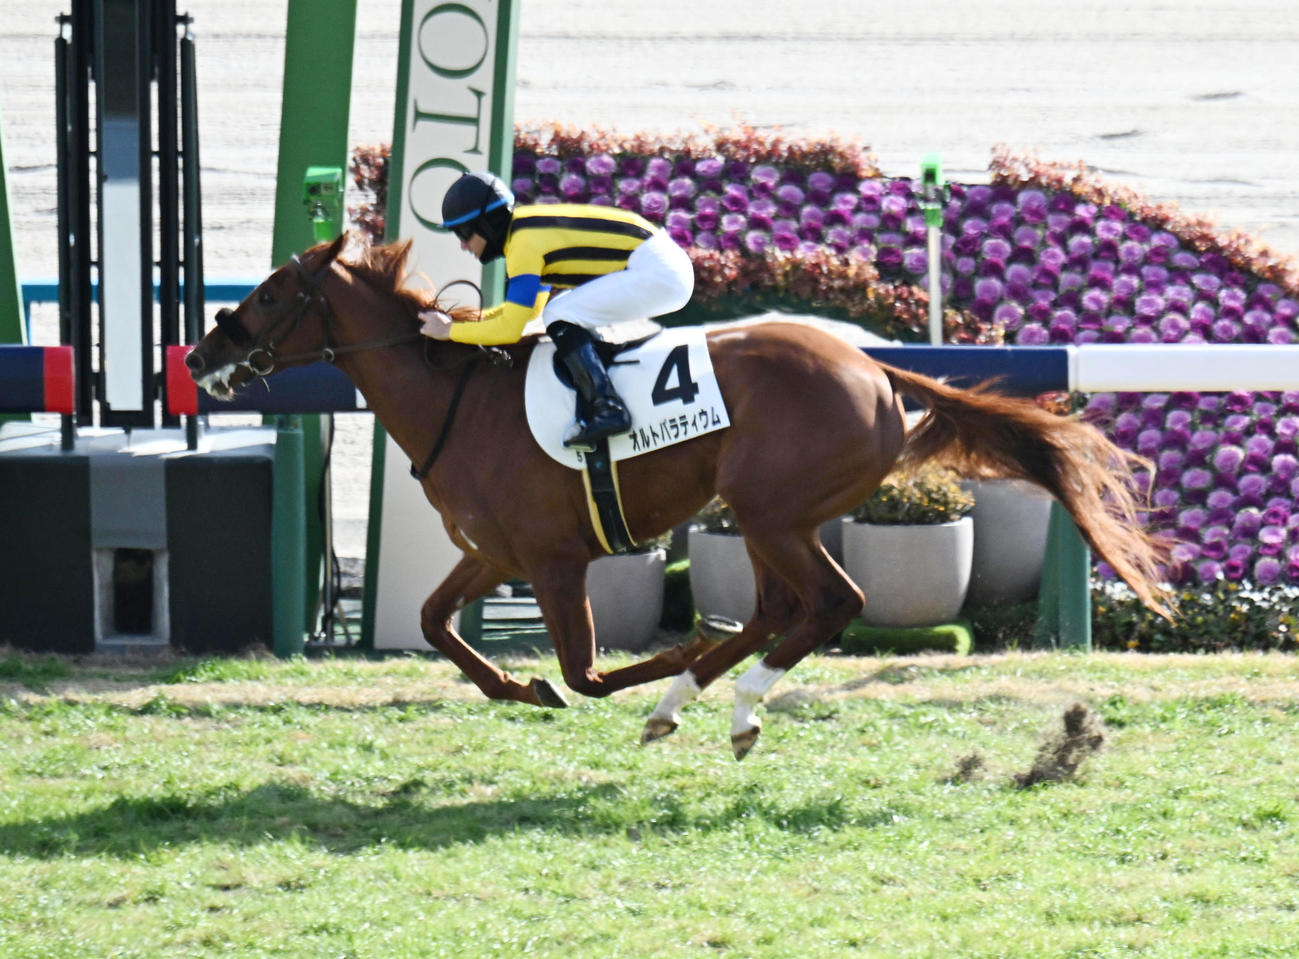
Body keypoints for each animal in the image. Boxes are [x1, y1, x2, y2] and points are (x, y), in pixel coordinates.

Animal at [185, 233, 1171, 759]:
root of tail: (877, 369)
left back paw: (717, 698)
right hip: (773, 516)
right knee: (784, 607)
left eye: (269, 294)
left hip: (770, 509)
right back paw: (703, 696)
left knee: (829, 602)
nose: (199, 355)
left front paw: (647, 660)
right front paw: (514, 683)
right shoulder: (493, 552)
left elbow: (585, 671)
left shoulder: (553, 559)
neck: (456, 399)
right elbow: (434, 623)